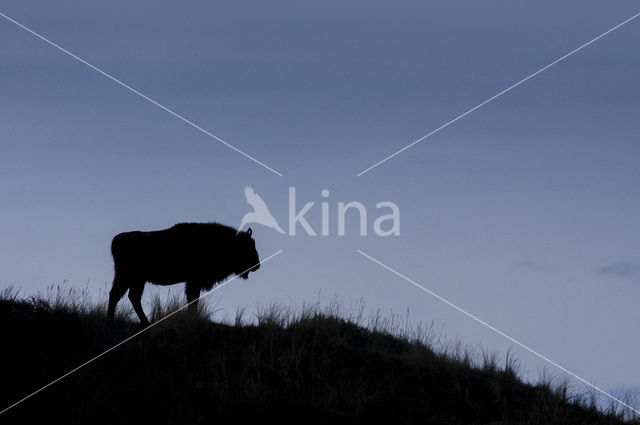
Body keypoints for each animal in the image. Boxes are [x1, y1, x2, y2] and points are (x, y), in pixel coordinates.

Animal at [107, 222, 260, 324]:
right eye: (247, 247)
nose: (257, 265)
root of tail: (117, 239)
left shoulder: (193, 282)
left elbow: (193, 299)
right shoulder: (194, 282)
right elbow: (193, 299)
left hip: (133, 280)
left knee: (122, 295)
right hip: (131, 279)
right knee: (126, 296)